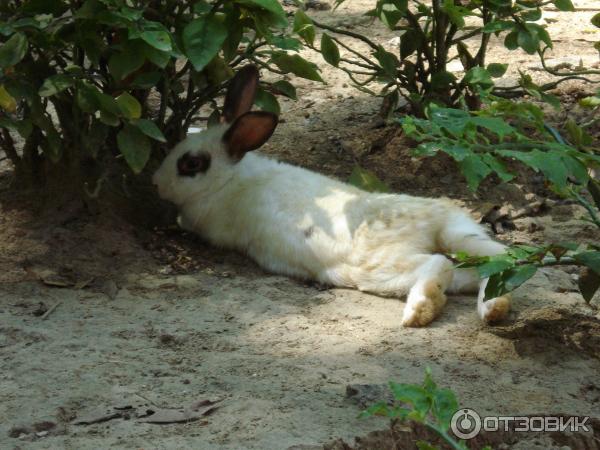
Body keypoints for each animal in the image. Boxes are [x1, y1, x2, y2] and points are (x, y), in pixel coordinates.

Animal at [152, 66, 508, 326]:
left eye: (190, 164)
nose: (157, 184)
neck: (229, 178)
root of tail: (434, 225)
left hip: (379, 266)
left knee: (439, 264)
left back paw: (420, 311)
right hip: (461, 239)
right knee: (491, 264)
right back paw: (493, 309)